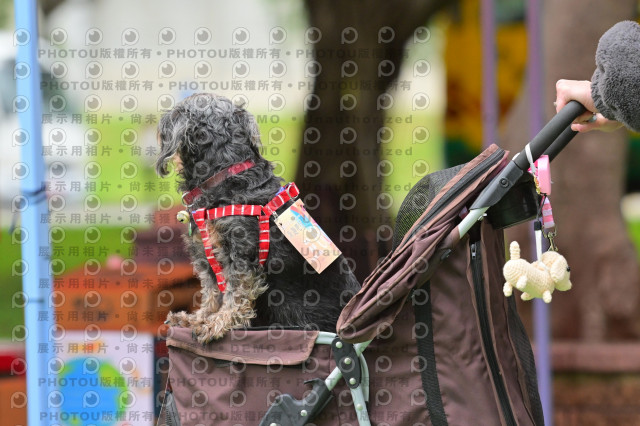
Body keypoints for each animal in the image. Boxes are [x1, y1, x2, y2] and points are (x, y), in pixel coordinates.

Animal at [156, 93, 361, 344]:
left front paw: (217, 324)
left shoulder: (241, 255)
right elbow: (212, 292)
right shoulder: (205, 257)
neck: (225, 176)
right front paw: (198, 318)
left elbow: (236, 293)